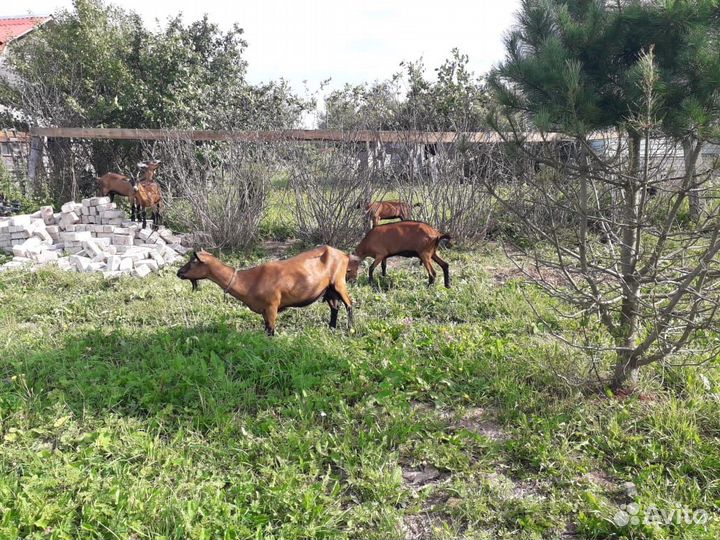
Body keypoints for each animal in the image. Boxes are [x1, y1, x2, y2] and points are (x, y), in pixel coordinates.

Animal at [177, 247, 354, 336]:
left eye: (194, 261)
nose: (179, 272)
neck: (248, 281)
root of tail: (344, 255)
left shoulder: (271, 306)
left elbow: (271, 331)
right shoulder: (263, 310)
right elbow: (265, 329)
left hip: (339, 282)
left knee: (349, 304)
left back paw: (350, 329)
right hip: (328, 288)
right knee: (334, 307)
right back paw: (331, 328)